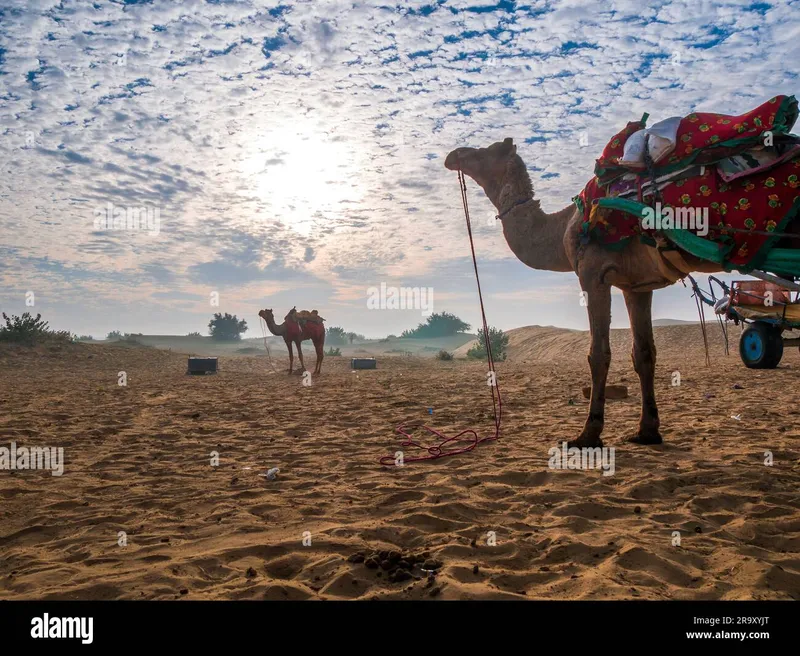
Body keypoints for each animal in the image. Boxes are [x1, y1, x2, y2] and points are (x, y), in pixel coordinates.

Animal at [446, 136, 796, 448]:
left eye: (485, 151)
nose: (453, 155)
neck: (562, 229)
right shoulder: (637, 285)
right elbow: (644, 353)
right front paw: (647, 431)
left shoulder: (593, 274)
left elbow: (598, 354)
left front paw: (587, 434)